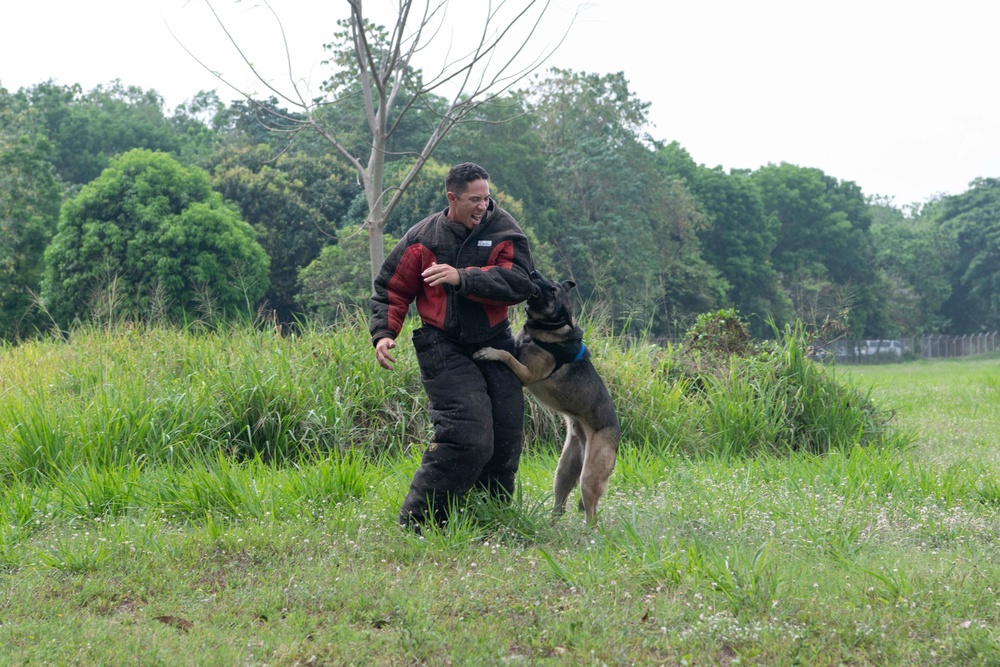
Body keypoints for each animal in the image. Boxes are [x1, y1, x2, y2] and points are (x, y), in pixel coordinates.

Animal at [474, 268, 620, 524]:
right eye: (546, 279)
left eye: (552, 290)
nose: (533, 272)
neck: (549, 326)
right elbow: (512, 349)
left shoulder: (527, 375)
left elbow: (507, 355)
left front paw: (490, 352)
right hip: (563, 470)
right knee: (560, 506)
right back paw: (550, 526)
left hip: (589, 476)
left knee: (592, 514)